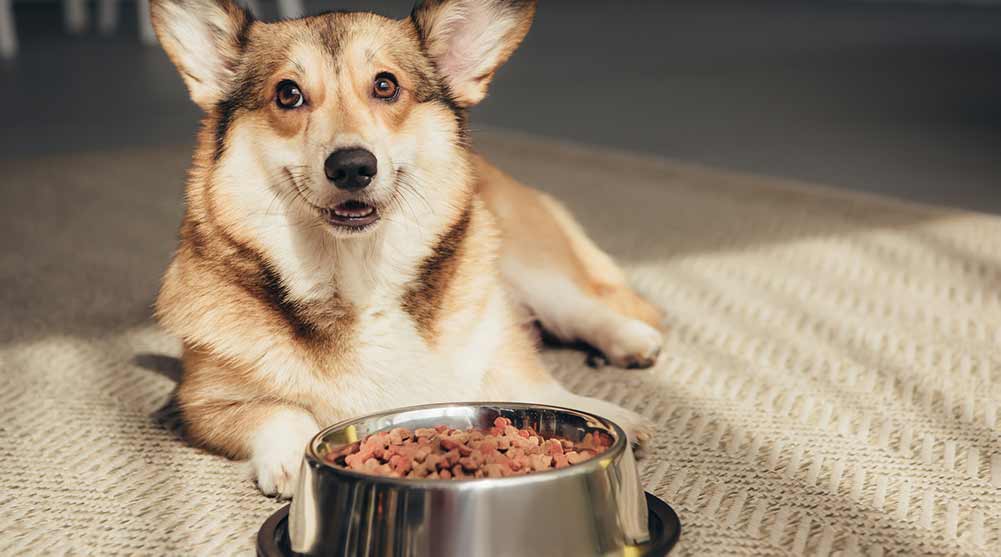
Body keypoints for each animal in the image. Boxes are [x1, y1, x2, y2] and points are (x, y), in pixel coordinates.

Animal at [150, 0, 664, 496]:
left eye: (385, 85)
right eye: (288, 94)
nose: (352, 167)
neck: (358, 275)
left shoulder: (496, 341)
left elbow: (531, 383)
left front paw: (597, 411)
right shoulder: (203, 401)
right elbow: (278, 410)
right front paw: (294, 456)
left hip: (530, 268)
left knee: (583, 307)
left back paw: (632, 341)